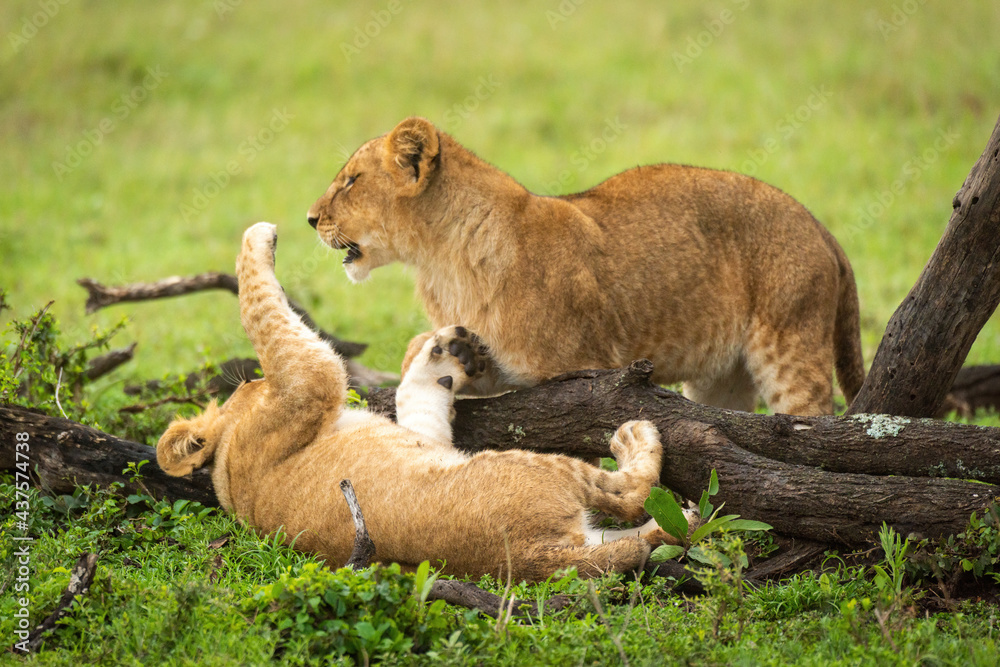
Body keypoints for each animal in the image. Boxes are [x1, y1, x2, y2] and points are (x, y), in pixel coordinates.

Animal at [156, 223, 677, 582]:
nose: (251, 382)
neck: (230, 457)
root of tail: (529, 559)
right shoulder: (303, 383)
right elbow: (262, 310)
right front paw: (259, 235)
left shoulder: (411, 431)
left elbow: (419, 399)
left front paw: (445, 355)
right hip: (533, 469)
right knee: (630, 496)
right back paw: (636, 439)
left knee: (643, 533)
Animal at [307, 117, 865, 415]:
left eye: (352, 181)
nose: (311, 218)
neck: (439, 261)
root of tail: (817, 223)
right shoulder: (510, 368)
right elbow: (418, 356)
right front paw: (454, 354)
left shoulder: (584, 371)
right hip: (720, 378)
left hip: (791, 346)